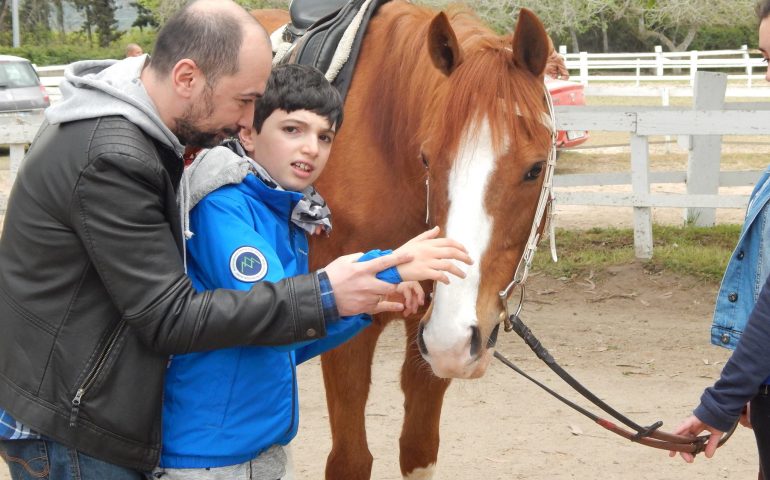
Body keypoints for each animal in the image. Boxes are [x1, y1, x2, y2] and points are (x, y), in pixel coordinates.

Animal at [255, 3, 556, 480]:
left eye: (534, 168)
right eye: (427, 159)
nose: (458, 340)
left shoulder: (429, 329)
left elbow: (417, 449)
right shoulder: (348, 325)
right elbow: (350, 460)